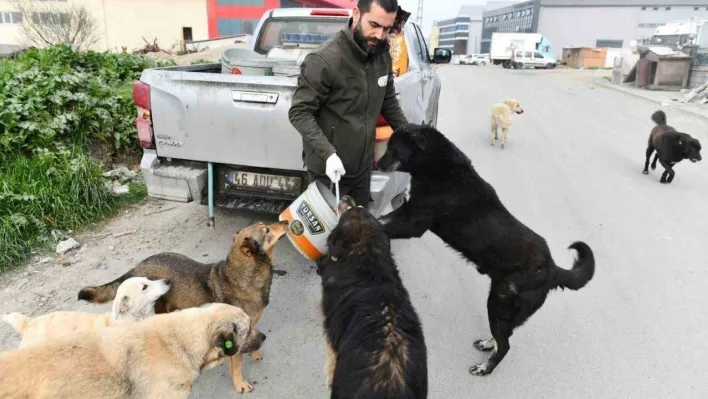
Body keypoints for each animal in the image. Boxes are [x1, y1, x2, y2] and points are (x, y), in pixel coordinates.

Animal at [77, 222, 288, 394]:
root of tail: (138, 267)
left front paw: (254, 351)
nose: (285, 221)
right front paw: (240, 385)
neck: (245, 274)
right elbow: (236, 366)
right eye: (267, 230)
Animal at [320, 195, 426, 398]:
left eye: (349, 210)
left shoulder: (331, 325)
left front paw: (328, 373)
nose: (346, 196)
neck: (368, 254)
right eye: (361, 207)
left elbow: (330, 353)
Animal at [378, 124, 596, 378]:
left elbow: (382, 225)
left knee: (506, 345)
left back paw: (485, 367)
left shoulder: (413, 224)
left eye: (393, 148)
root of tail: (551, 268)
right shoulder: (407, 212)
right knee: (504, 337)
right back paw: (488, 344)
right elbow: (382, 219)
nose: (377, 165)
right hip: (504, 309)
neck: (440, 167)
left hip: (499, 304)